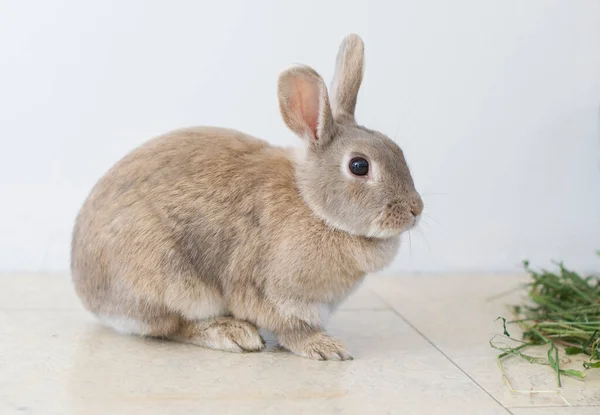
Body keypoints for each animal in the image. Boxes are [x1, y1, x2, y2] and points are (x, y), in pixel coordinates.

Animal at [71, 34, 422, 360]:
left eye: (397, 149)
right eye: (359, 166)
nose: (416, 209)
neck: (313, 205)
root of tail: (87, 292)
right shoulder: (276, 294)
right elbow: (293, 328)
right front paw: (327, 348)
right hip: (170, 281)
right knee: (173, 326)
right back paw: (233, 333)